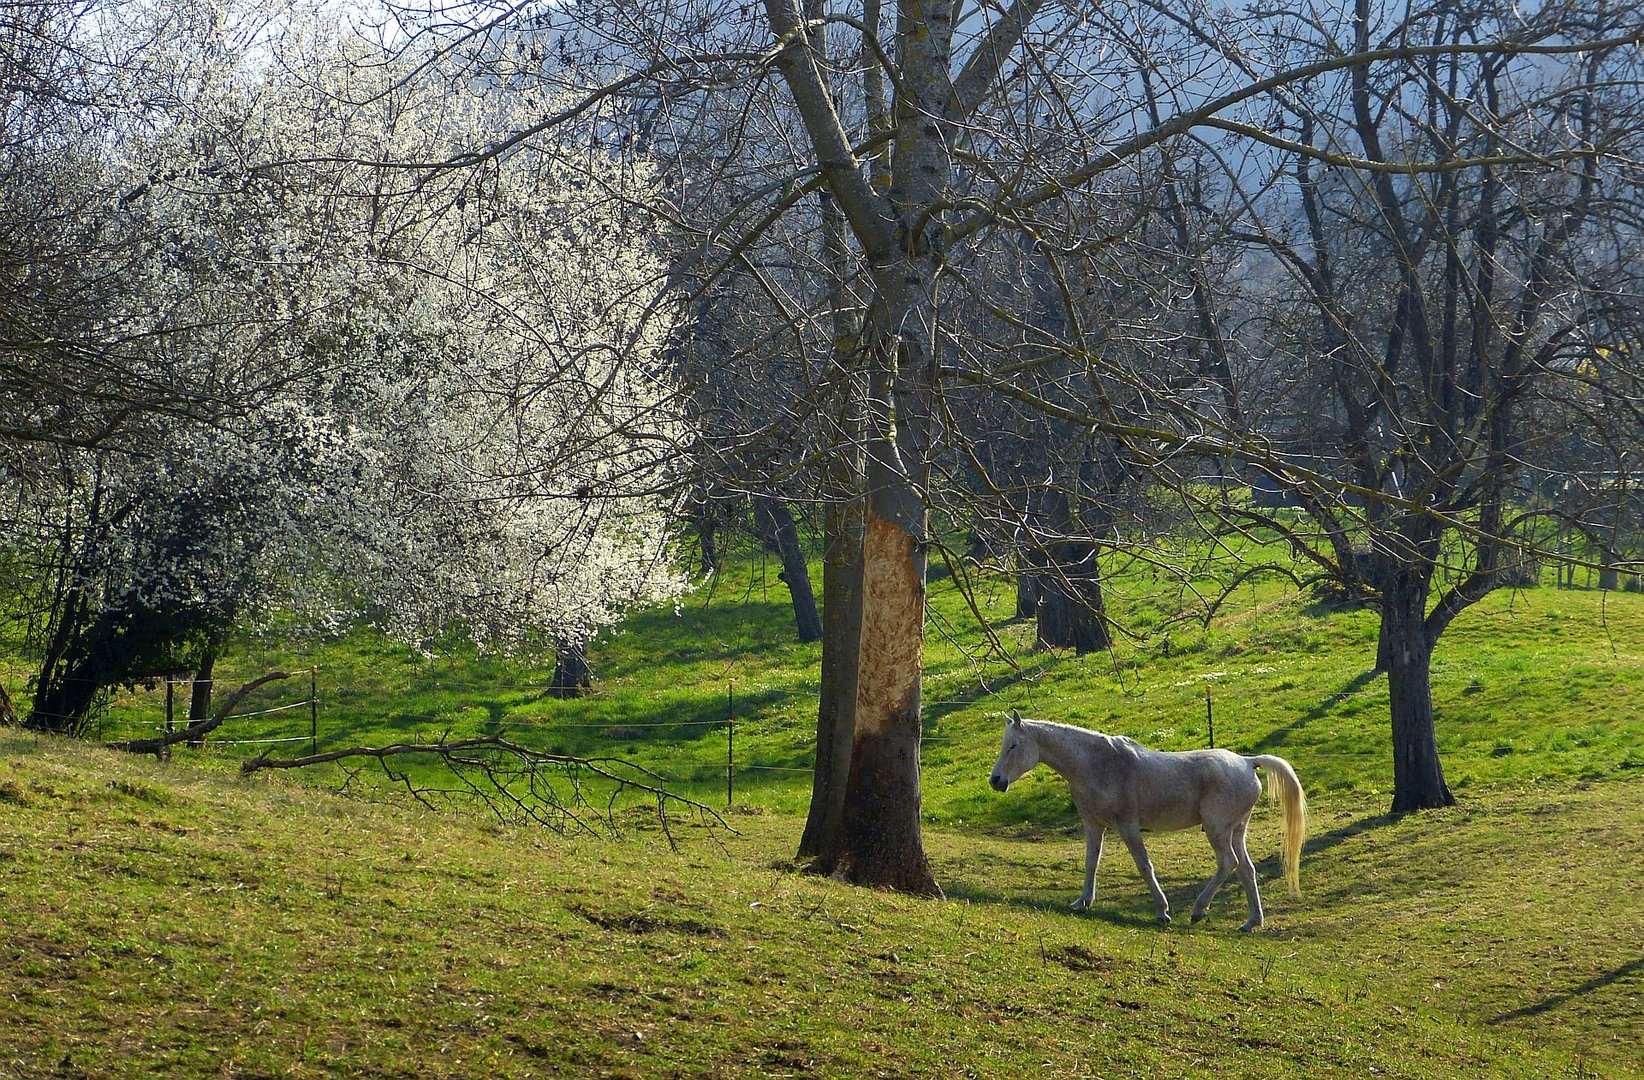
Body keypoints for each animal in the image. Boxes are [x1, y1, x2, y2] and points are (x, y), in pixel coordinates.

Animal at [986, 706, 1308, 927]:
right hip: (1236, 830)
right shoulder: (1093, 825)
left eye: (1013, 745)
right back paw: (1252, 921)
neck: (1098, 765)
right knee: (1246, 870)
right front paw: (1083, 902)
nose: (996, 781)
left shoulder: (1128, 826)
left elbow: (1144, 865)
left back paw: (1198, 910)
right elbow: (1091, 863)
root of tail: (1247, 762)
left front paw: (1162, 911)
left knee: (1228, 864)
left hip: (1217, 830)